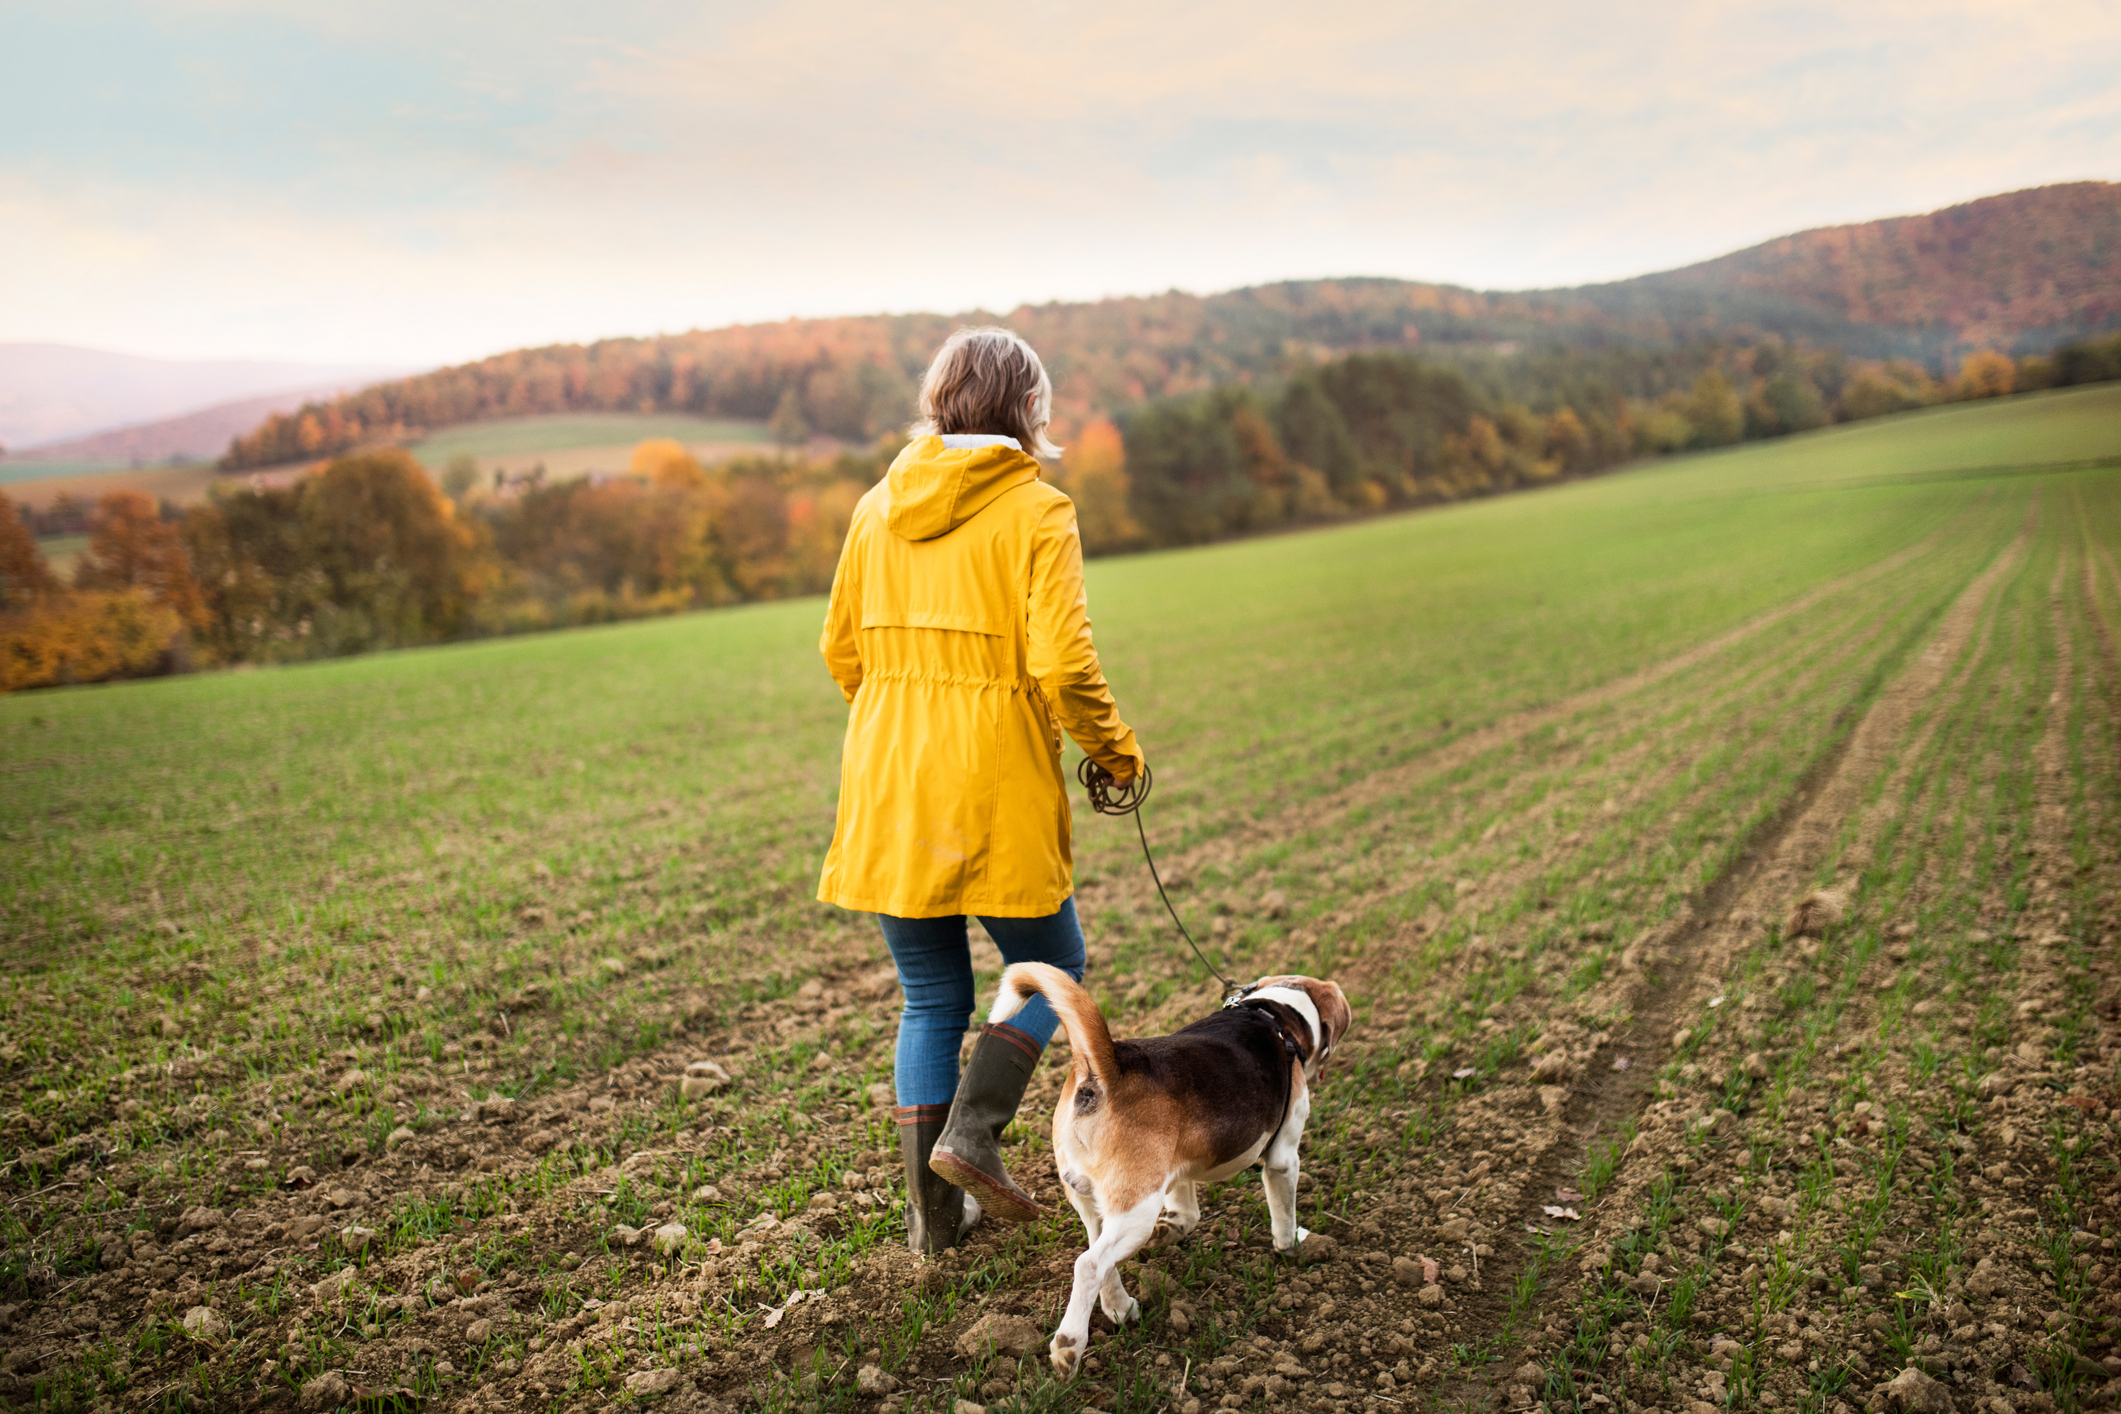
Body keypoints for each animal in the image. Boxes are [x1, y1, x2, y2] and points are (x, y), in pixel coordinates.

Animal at [984, 966, 1348, 1373]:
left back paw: (1120, 1308)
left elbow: (1187, 1213)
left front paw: (1172, 1231)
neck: (1276, 1015)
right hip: (1137, 1208)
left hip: (1092, 1201)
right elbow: (1284, 1215)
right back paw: (1069, 1346)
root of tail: (1108, 1068)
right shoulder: (1284, 1158)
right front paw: (1292, 1251)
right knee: (1090, 1265)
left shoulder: (1177, 1170)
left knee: (1097, 1255)